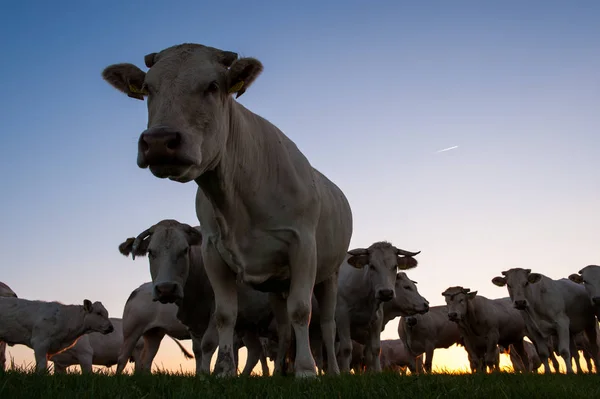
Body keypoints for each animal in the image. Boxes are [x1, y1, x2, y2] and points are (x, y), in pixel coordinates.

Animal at [119, 220, 272, 376]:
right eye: (150, 252)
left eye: (185, 250)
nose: (166, 289)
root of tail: (137, 290)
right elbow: (198, 350)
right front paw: (203, 373)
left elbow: (206, 345)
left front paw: (205, 373)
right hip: (134, 331)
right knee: (125, 357)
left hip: (151, 333)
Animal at [336, 242, 420, 374]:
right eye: (372, 266)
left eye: (395, 266)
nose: (386, 293)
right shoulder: (342, 317)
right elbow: (346, 349)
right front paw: (344, 373)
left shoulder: (376, 321)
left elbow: (374, 350)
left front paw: (376, 372)